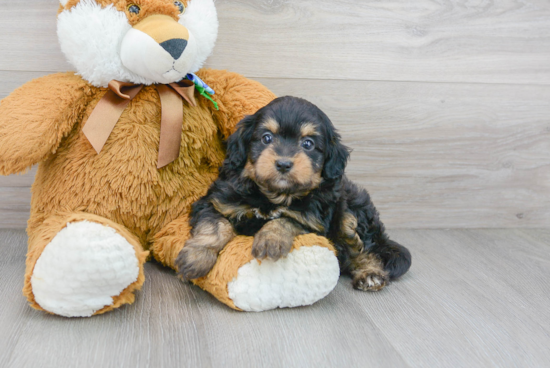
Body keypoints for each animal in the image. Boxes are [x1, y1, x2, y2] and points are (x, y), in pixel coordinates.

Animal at [177, 96, 414, 292]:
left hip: (353, 207)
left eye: (308, 144)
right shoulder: (215, 200)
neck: (272, 195)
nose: (283, 164)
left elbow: (286, 219)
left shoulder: (314, 221)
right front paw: (195, 258)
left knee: (364, 246)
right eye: (266, 138)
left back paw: (370, 273)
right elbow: (217, 226)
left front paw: (270, 239)